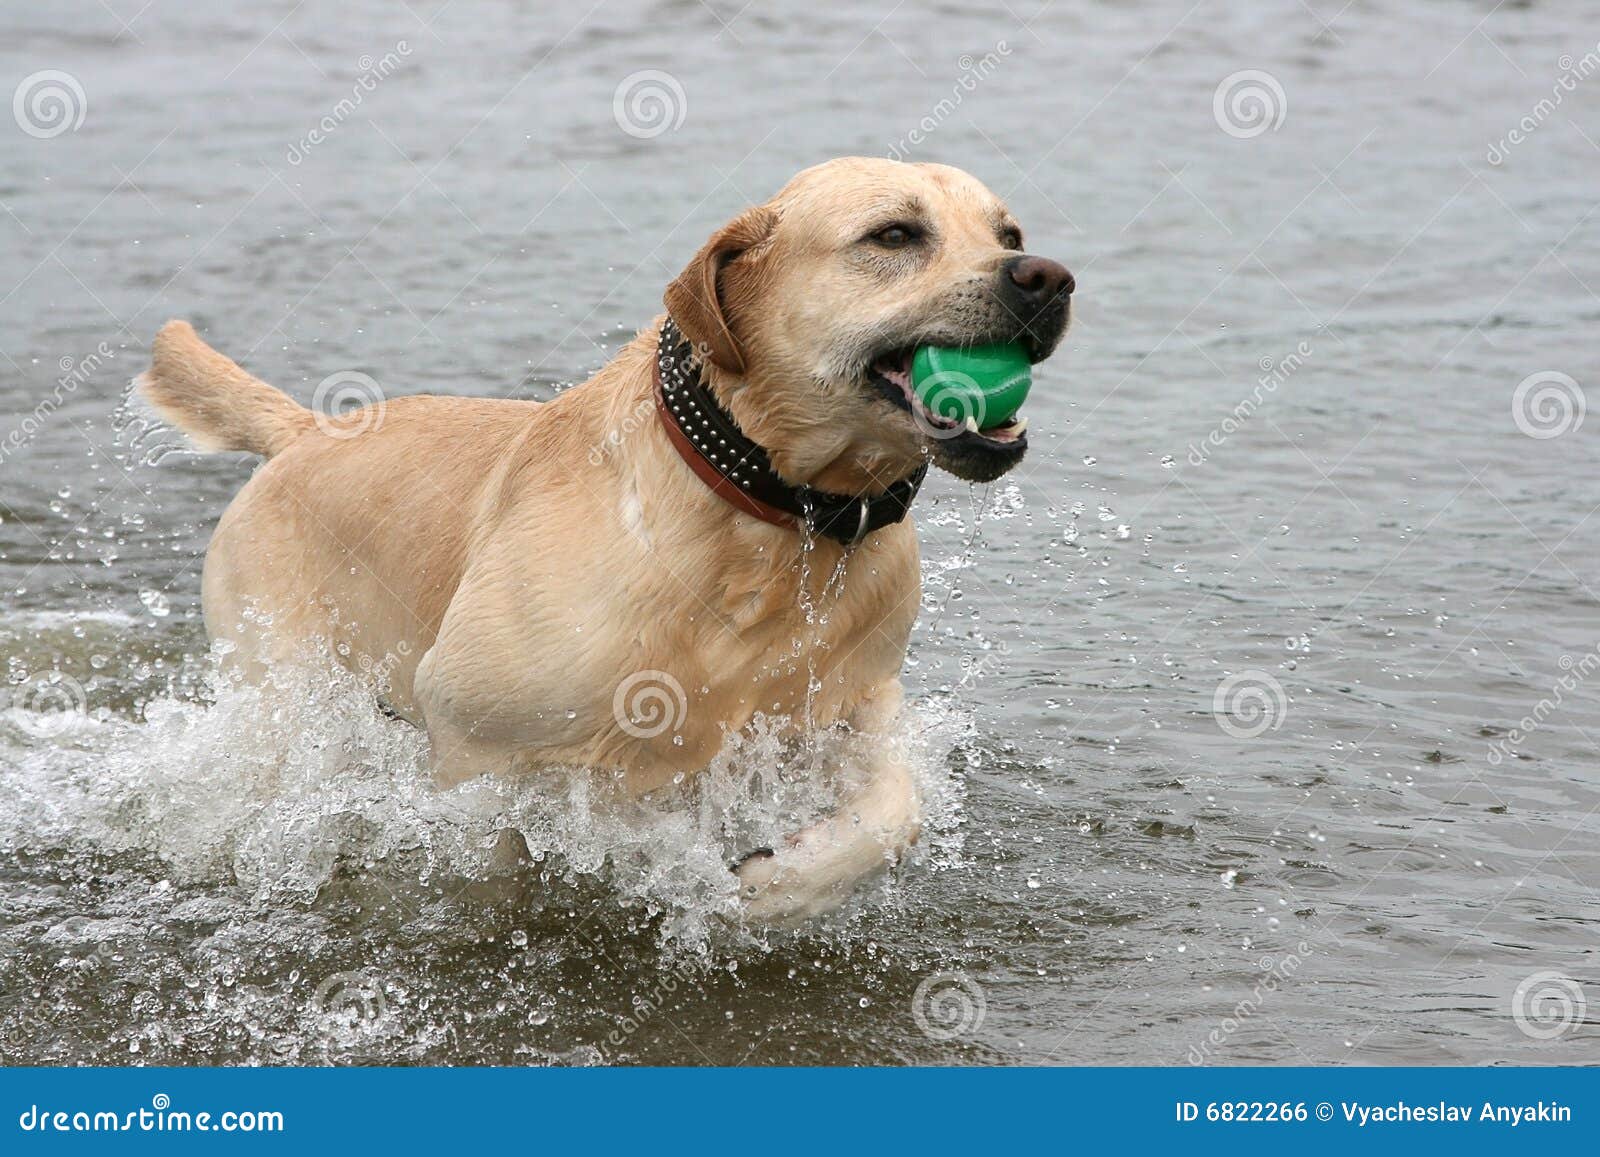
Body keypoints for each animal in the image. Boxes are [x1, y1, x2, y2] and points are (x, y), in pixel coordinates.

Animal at [134, 160, 1062, 921]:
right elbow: (490, 857)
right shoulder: (472, 731)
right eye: (895, 235)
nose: (1048, 276)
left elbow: (895, 810)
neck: (768, 515)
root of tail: (302, 432)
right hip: (282, 692)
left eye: (1009, 233)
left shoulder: (854, 700)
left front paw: (775, 887)